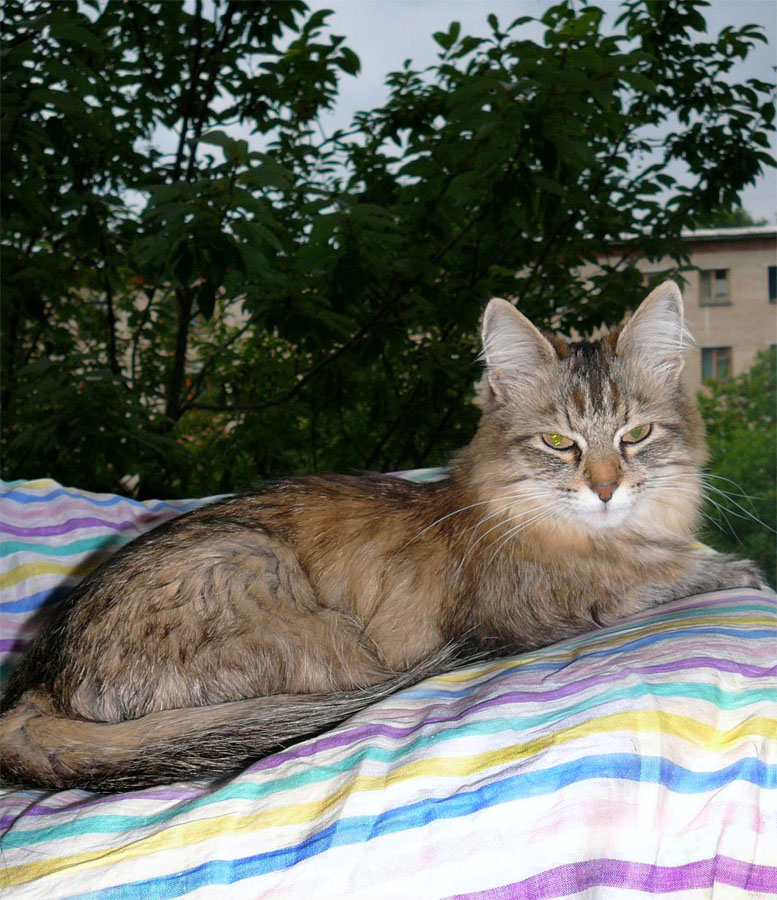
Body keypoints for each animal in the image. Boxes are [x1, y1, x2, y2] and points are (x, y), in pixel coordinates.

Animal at [0, 281, 765, 793]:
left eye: (636, 435)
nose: (606, 489)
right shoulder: (532, 614)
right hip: (285, 596)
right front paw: (732, 568)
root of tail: (37, 684)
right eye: (558, 443)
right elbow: (660, 578)